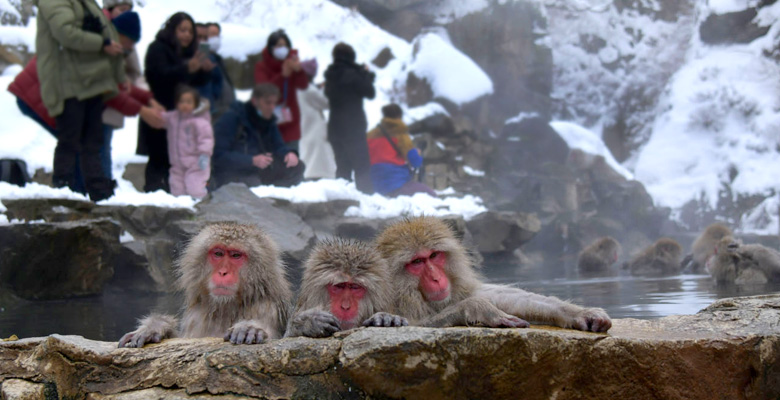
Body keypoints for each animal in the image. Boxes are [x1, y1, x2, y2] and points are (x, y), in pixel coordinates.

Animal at [119, 222, 292, 346]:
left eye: (236, 255)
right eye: (218, 253)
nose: (223, 272)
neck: (226, 308)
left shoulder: (268, 308)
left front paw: (249, 328)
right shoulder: (195, 317)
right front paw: (154, 327)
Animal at [374, 217, 612, 332]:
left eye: (434, 256)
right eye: (417, 262)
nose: (436, 278)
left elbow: (508, 297)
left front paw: (581, 313)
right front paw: (480, 308)